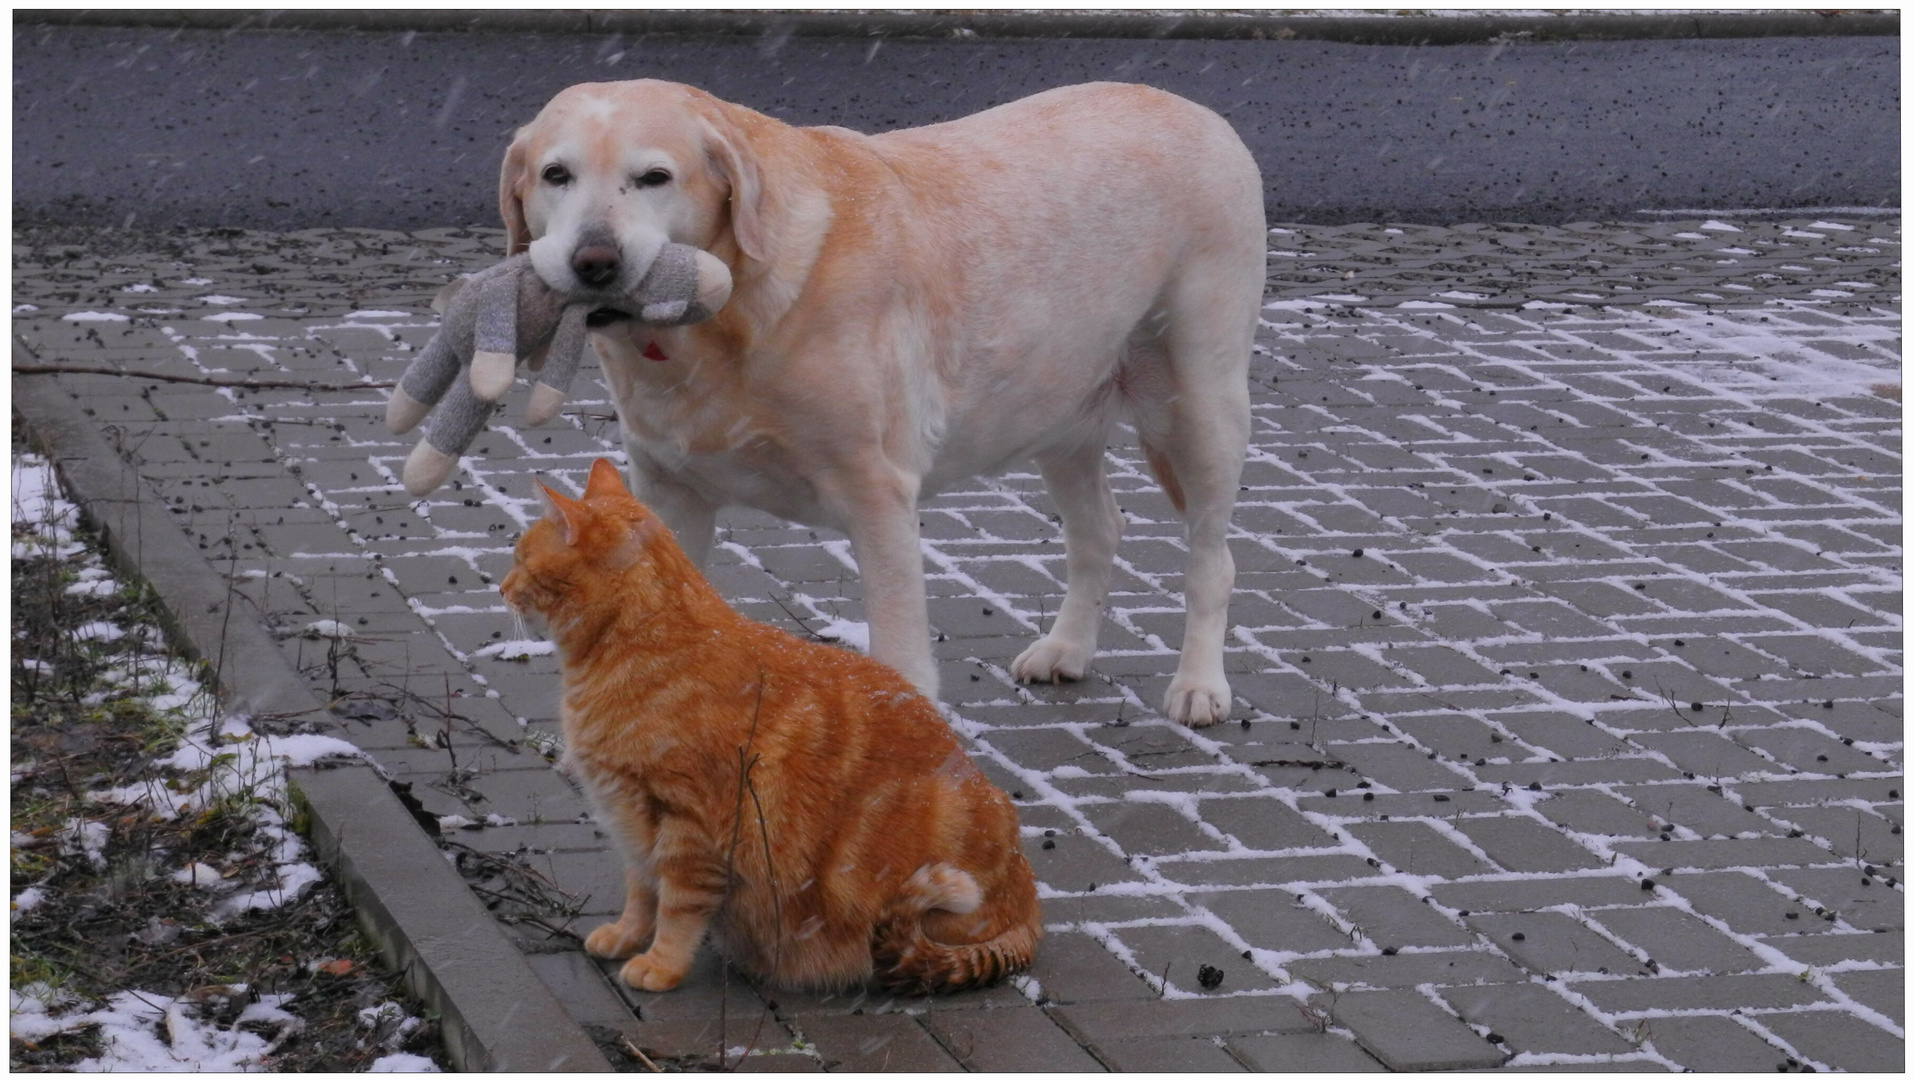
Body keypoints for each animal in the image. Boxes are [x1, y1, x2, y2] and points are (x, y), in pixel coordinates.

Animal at [501, 82, 1263, 723]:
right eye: (556, 175)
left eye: (654, 177)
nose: (595, 261)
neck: (723, 319)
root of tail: (1199, 109)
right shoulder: (669, 492)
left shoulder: (877, 492)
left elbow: (900, 655)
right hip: (1058, 408)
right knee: (1099, 528)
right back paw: (1066, 648)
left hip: (1200, 401)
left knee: (1212, 558)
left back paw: (1199, 684)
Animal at [501, 459, 1041, 988]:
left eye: (522, 559)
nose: (501, 587)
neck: (636, 648)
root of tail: (1029, 900)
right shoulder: (632, 821)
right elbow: (640, 890)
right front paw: (627, 935)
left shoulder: (689, 825)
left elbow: (677, 907)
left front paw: (660, 964)